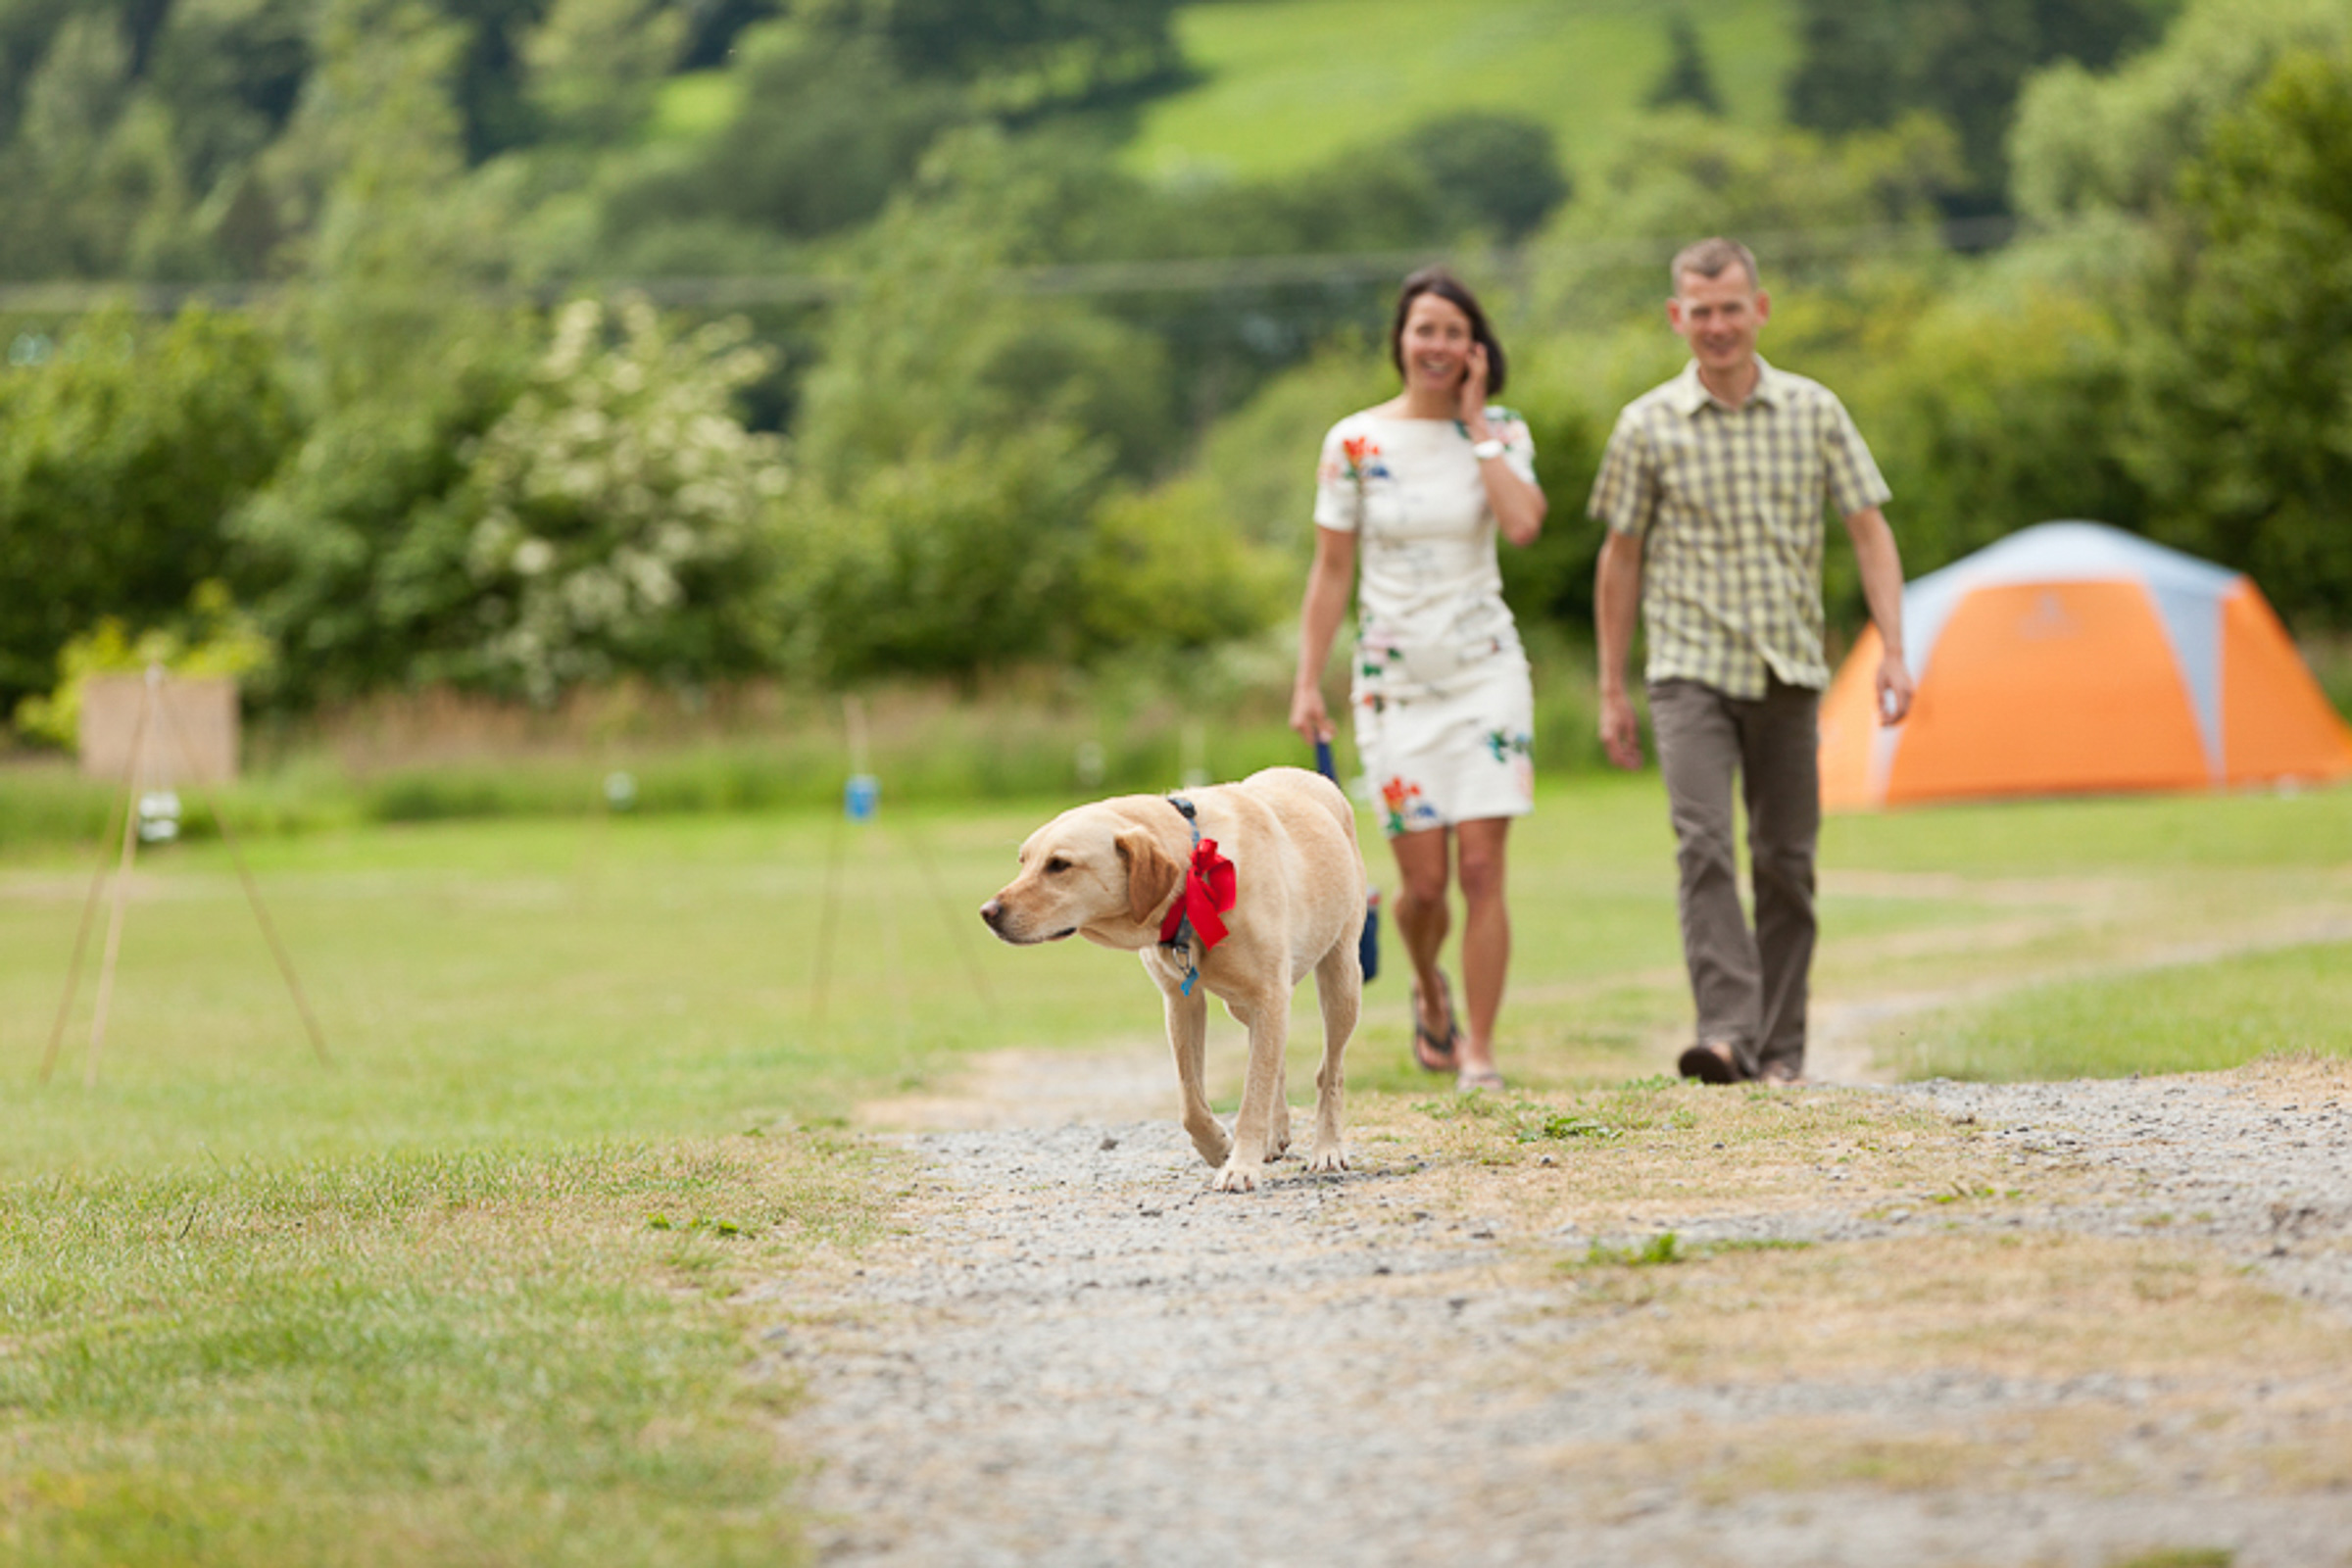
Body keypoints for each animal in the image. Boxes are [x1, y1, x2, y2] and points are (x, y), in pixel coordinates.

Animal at [983, 766, 1373, 1194]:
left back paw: (1327, 1148)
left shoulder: (1269, 995)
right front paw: (1218, 1147)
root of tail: (1307, 773)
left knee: (1329, 1071)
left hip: (1341, 979)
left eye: (1059, 865)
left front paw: (1241, 1167)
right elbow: (1192, 1100)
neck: (1194, 873)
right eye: (1023, 861)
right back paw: (1276, 1133)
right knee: (1276, 1061)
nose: (987, 912)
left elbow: (1253, 1095)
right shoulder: (1182, 1001)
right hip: (1241, 1006)